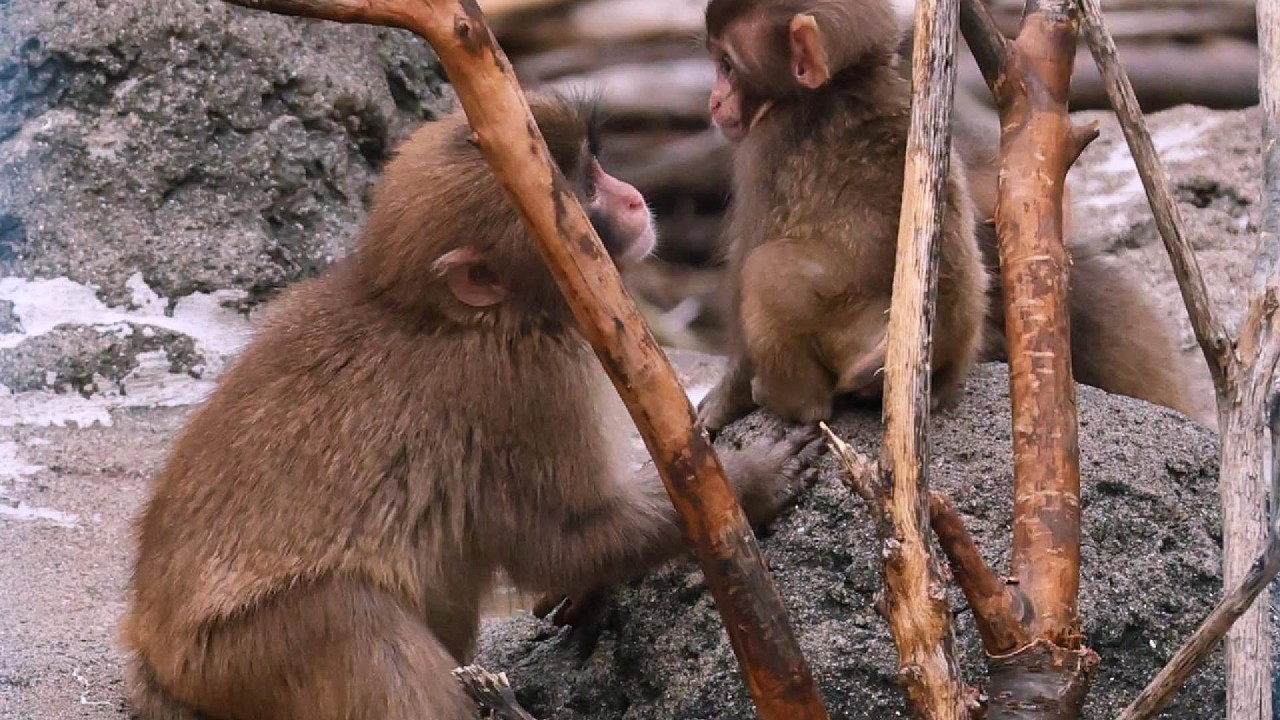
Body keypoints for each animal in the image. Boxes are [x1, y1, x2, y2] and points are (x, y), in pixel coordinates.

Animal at [119, 94, 823, 720]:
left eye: (593, 167)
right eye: (580, 197)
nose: (627, 196)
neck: (445, 315)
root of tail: (154, 663)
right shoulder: (527, 385)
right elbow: (561, 541)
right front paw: (748, 484)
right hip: (239, 655)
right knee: (352, 617)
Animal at [694, 0, 991, 434]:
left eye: (728, 66)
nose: (714, 101)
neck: (844, 85)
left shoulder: (763, 147)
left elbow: (749, 253)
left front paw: (722, 404)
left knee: (766, 268)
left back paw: (794, 401)